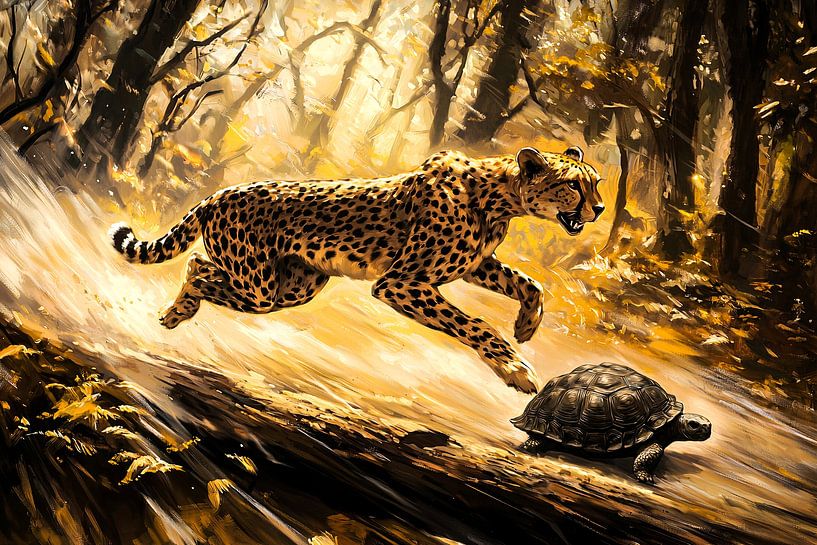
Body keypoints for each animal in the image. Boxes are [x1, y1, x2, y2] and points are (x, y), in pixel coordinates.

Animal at [110, 146, 604, 393]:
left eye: (596, 183)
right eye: (572, 186)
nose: (599, 208)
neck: (500, 199)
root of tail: (222, 192)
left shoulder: (472, 265)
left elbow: (529, 283)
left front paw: (527, 325)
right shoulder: (400, 282)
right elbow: (476, 324)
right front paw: (515, 368)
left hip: (295, 286)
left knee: (200, 267)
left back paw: (175, 313)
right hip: (261, 286)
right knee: (197, 266)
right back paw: (178, 311)